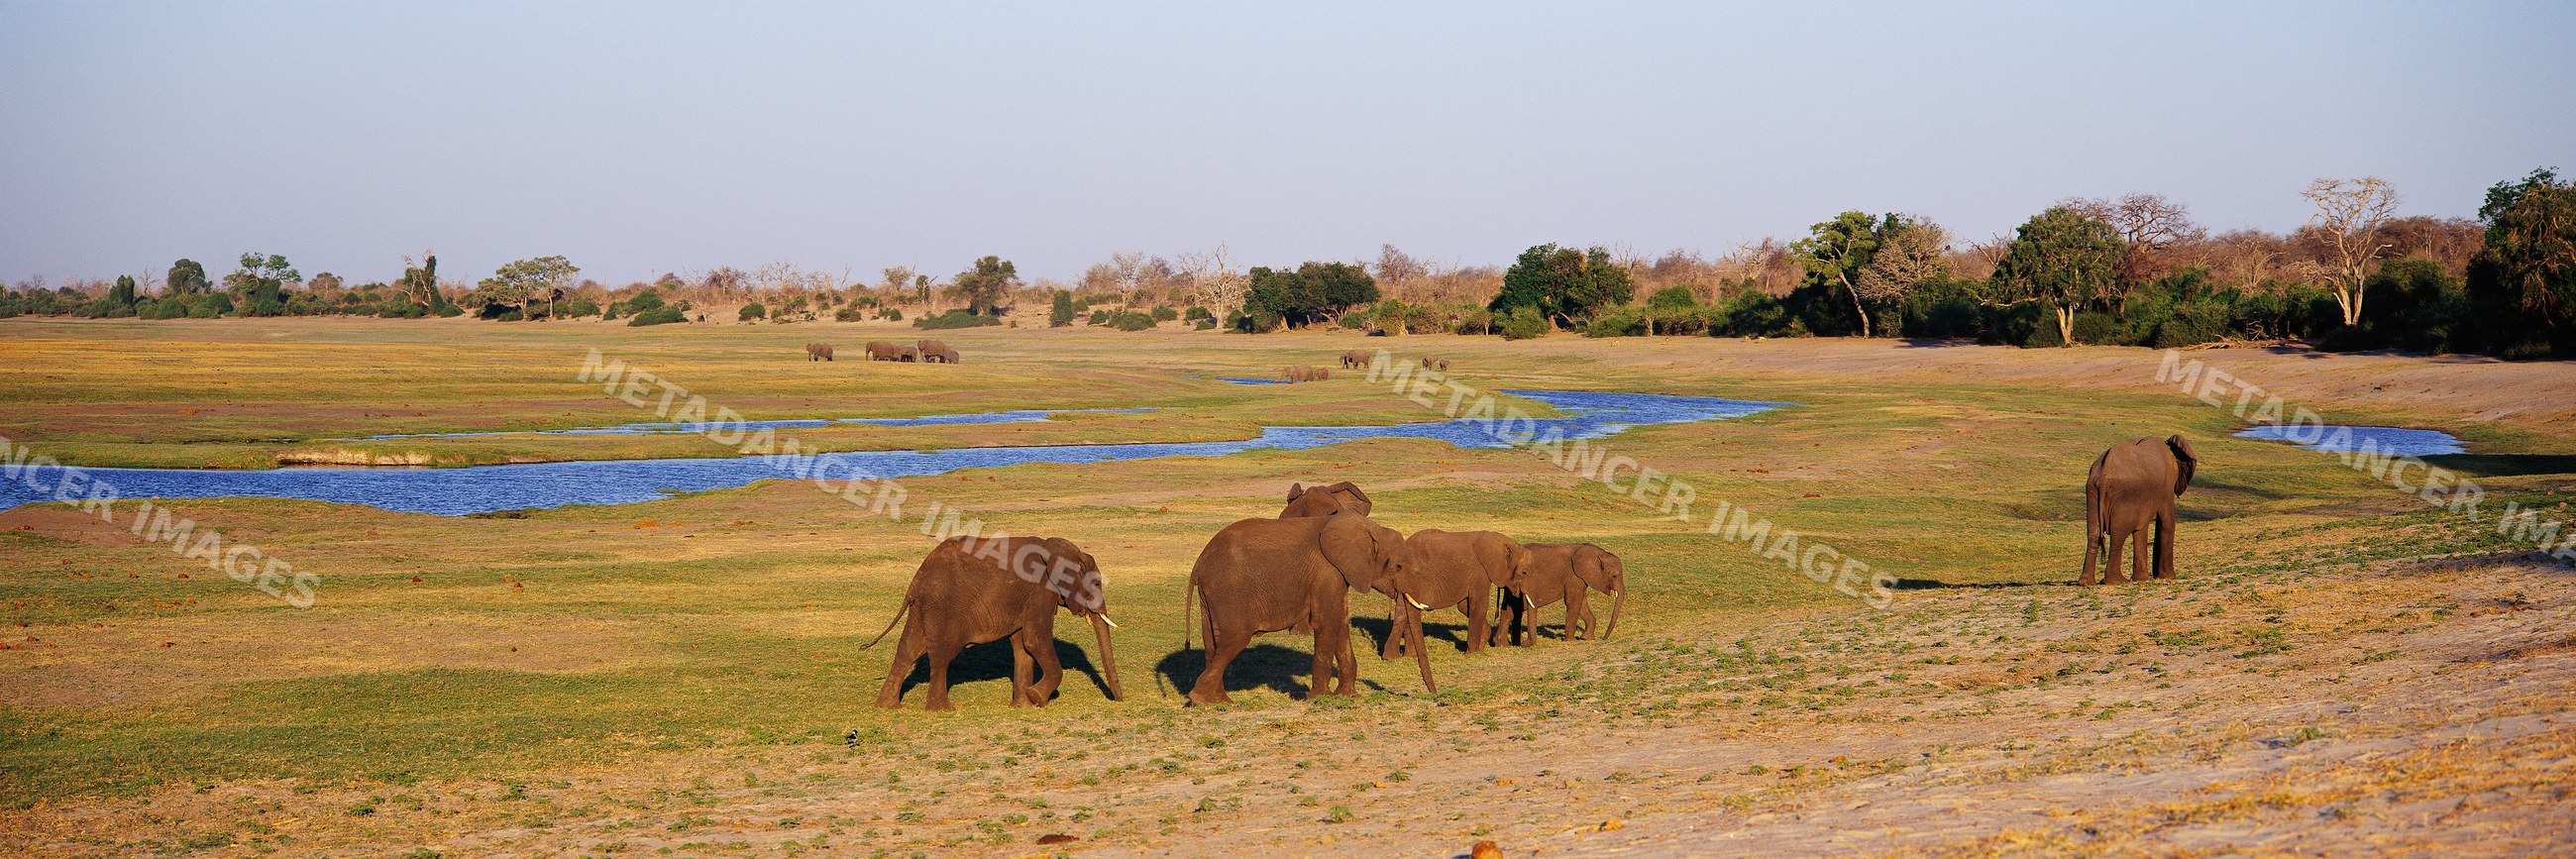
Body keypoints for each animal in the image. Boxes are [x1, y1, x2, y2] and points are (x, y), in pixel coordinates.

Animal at [864, 535, 1123, 710]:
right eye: (1097, 583)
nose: (1118, 701)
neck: (1054, 548)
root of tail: (916, 581)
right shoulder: (1039, 591)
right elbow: (1035, 640)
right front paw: (1037, 698)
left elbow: (1022, 646)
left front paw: (1023, 705)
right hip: (943, 608)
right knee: (941, 655)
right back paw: (943, 710)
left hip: (921, 608)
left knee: (907, 650)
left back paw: (887, 706)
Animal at [1182, 514, 1417, 704]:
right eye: (1398, 566)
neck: (1371, 529)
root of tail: (1198, 565)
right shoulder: (1327, 571)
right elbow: (1327, 623)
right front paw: (1321, 699)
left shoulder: (1339, 575)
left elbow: (1340, 622)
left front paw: (1348, 696)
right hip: (1229, 592)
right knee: (1234, 640)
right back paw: (1204, 701)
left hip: (1211, 596)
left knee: (1213, 644)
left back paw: (1218, 701)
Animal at [1375, 530, 1531, 677]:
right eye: (1524, 572)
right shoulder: (1480, 572)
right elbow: (1478, 605)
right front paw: (1472, 653)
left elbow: (1464, 606)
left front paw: (1481, 645)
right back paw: (1395, 657)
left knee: (1404, 612)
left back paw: (1401, 657)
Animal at [1495, 543, 1626, 646]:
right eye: (1614, 576)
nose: (1603, 638)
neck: (1597, 552)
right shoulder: (1573, 576)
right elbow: (1573, 602)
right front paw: (1571, 641)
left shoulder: (1580, 578)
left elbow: (1581, 603)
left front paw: (1587, 638)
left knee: (1509, 611)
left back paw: (1502, 644)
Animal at [2083, 434, 2198, 585]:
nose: (2156, 574)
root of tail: (2103, 474)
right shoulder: (2166, 486)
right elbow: (2166, 523)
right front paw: (2168, 576)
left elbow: (2142, 526)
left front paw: (2145, 578)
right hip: (2124, 494)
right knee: (2118, 535)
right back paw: (2117, 581)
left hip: (2092, 491)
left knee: (2094, 533)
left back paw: (2087, 582)